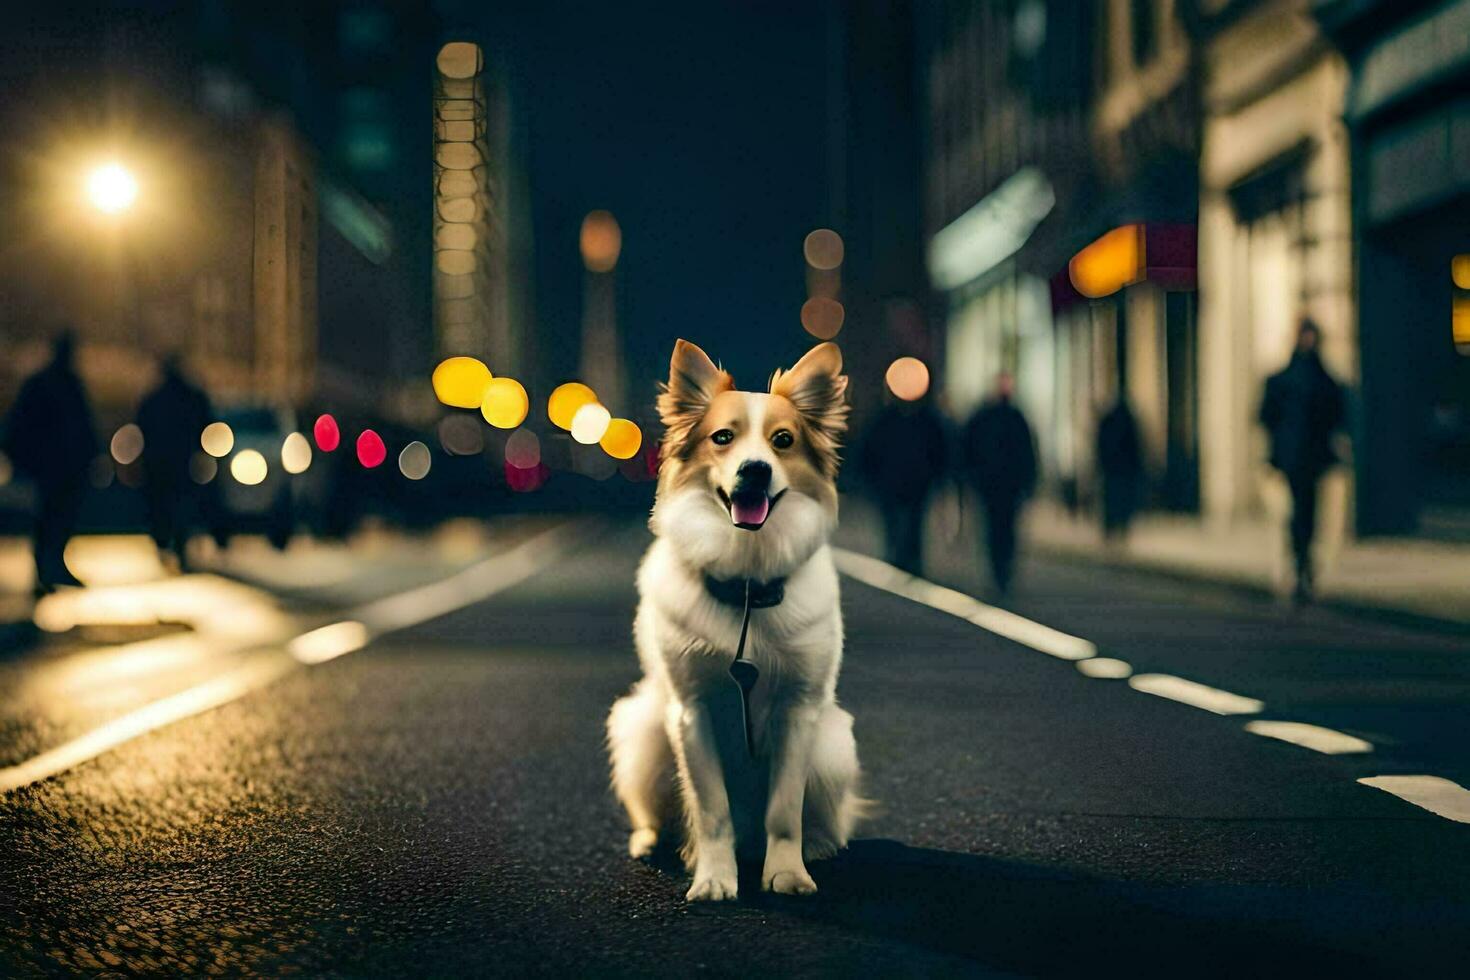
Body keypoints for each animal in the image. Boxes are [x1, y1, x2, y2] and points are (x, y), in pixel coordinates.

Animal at [605, 339, 864, 905]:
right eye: (722, 437)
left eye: (783, 441)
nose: (756, 470)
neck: (746, 581)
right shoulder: (691, 712)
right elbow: (711, 811)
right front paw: (714, 879)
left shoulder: (798, 711)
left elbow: (784, 811)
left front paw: (787, 874)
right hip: (642, 731)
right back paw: (650, 840)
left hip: (833, 744)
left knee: (823, 817)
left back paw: (820, 845)